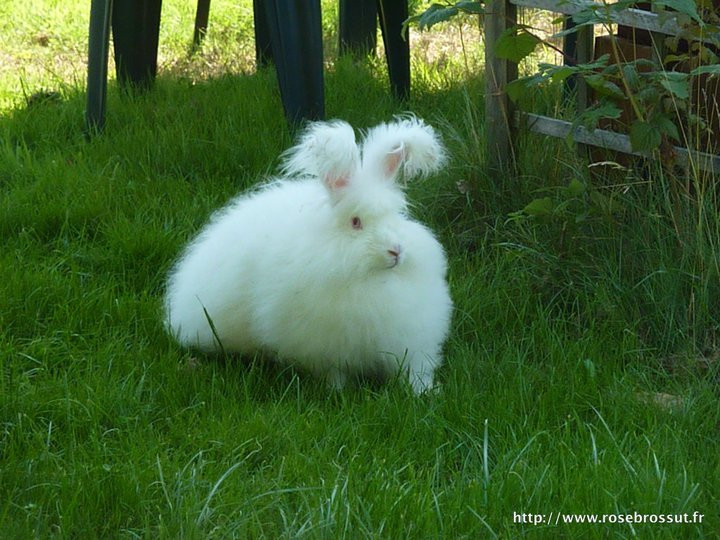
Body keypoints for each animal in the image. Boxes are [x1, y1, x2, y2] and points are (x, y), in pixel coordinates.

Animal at [164, 116, 453, 393]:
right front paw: (337, 392)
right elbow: (334, 373)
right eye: (356, 222)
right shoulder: (325, 348)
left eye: (397, 215)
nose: (396, 251)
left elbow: (415, 369)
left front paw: (425, 392)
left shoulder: (412, 340)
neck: (373, 281)